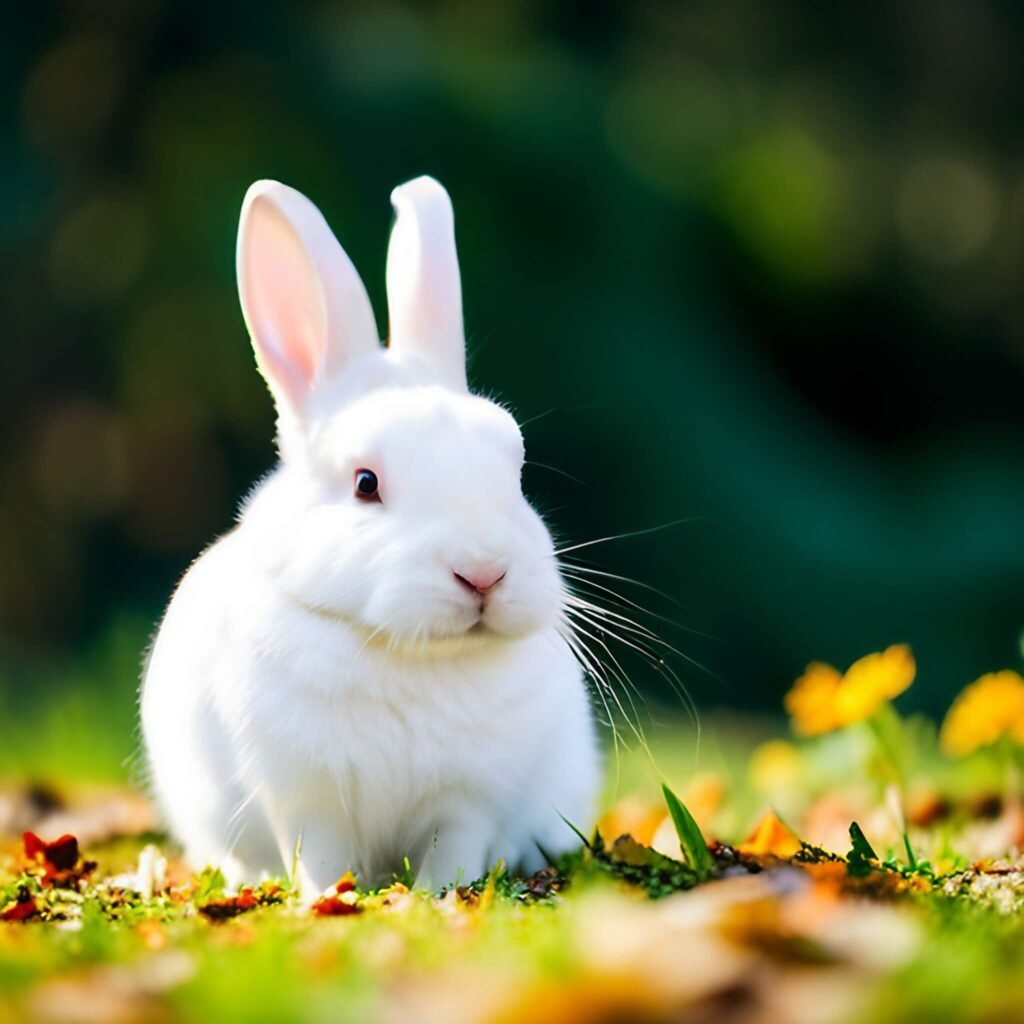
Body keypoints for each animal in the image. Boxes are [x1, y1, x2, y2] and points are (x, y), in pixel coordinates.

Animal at [140, 175, 601, 895]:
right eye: (365, 483)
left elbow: (453, 851)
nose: (484, 571)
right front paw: (327, 899)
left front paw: (439, 898)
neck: (411, 652)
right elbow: (320, 857)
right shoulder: (307, 801)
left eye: (516, 466)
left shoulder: (465, 804)